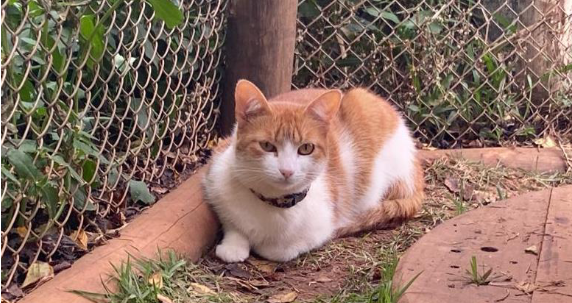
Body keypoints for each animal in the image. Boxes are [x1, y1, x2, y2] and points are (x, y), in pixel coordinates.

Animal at [202, 80, 424, 264]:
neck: (274, 205)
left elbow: (279, 250)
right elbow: (233, 223)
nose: (287, 170)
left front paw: (261, 244)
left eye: (306, 148)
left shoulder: (322, 227)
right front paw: (234, 245)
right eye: (267, 146)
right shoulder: (217, 172)